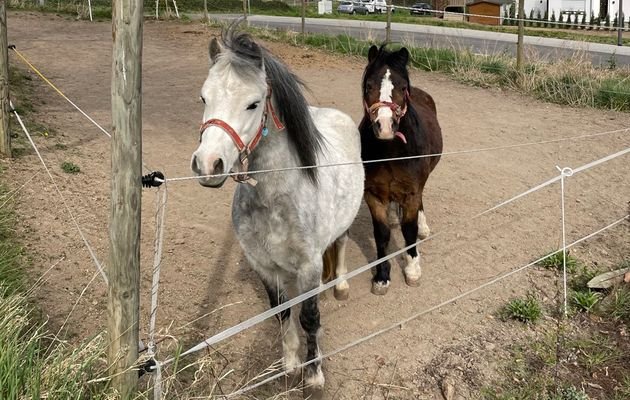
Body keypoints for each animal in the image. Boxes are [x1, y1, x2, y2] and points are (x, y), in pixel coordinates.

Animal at [190, 27, 362, 394]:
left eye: (253, 104)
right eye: (204, 98)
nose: (208, 165)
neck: (275, 199)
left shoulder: (309, 266)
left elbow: (310, 318)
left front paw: (314, 375)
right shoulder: (264, 266)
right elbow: (282, 312)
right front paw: (290, 364)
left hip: (344, 224)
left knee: (340, 244)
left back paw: (340, 285)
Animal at [360, 44, 444, 294]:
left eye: (402, 87)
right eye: (369, 86)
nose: (385, 126)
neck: (392, 151)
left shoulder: (412, 191)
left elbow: (409, 230)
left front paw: (413, 269)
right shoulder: (372, 194)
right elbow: (381, 234)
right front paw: (382, 276)